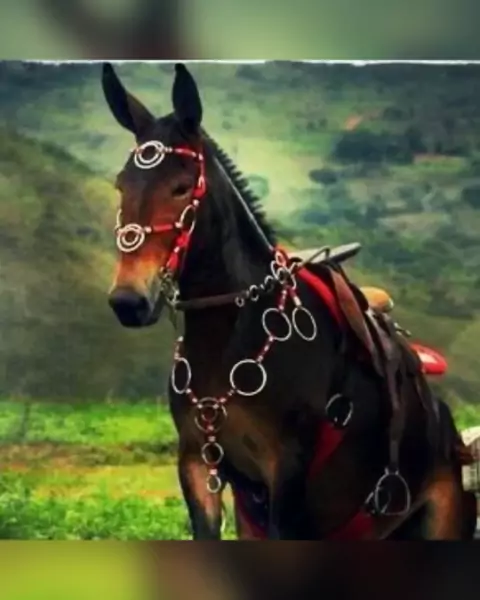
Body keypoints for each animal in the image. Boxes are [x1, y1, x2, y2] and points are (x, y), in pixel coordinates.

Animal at [102, 61, 476, 540]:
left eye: (182, 187)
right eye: (121, 185)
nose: (129, 300)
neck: (230, 341)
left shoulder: (287, 473)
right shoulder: (197, 466)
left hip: (443, 518)